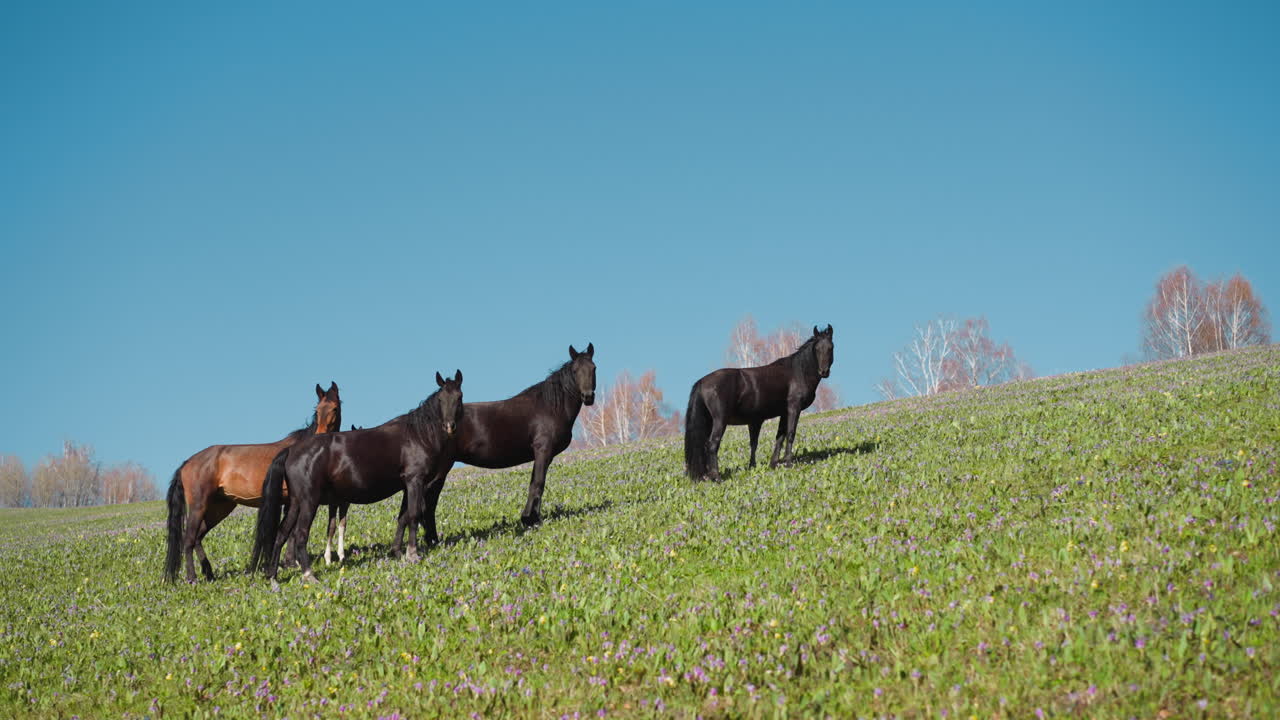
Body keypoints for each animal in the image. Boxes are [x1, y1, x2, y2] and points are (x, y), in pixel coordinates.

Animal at [164, 382, 342, 583]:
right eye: (317, 410)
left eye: (334, 408)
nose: (320, 435)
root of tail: (187, 463)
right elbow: (292, 531)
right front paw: (291, 562)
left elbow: (291, 531)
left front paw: (290, 562)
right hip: (198, 506)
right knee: (189, 539)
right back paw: (192, 577)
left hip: (219, 508)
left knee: (198, 537)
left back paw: (209, 573)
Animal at [249, 371, 463, 582]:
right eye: (441, 399)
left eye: (459, 397)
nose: (450, 426)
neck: (417, 434)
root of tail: (292, 450)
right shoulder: (415, 481)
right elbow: (414, 515)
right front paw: (413, 555)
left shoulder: (406, 485)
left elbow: (403, 517)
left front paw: (397, 552)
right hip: (309, 501)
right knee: (300, 534)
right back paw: (309, 574)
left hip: (295, 502)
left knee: (282, 533)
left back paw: (273, 576)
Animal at [416, 344, 596, 544]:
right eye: (575, 371)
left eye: (593, 368)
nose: (588, 397)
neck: (550, 407)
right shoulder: (543, 450)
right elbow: (538, 483)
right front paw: (531, 519)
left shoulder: (541, 455)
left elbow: (534, 482)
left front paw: (530, 518)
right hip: (442, 469)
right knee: (429, 500)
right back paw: (432, 540)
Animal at [685, 325, 833, 481]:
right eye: (817, 349)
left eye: (830, 348)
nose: (824, 372)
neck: (798, 372)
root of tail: (702, 382)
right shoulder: (794, 408)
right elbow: (791, 433)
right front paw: (788, 463)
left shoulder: (784, 413)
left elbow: (780, 437)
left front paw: (773, 464)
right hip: (720, 421)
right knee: (712, 444)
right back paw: (717, 477)